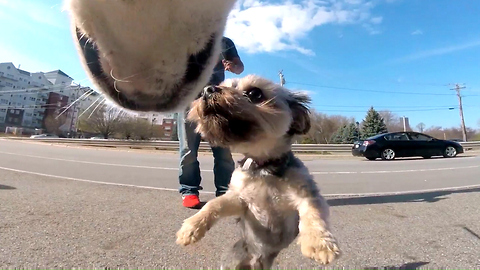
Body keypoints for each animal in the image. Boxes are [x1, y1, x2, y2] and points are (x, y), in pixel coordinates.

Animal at [174, 75, 340, 268]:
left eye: (255, 93)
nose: (208, 89)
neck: (262, 167)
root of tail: (257, 257)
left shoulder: (306, 193)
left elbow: (314, 214)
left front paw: (319, 244)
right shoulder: (240, 198)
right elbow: (214, 204)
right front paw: (191, 227)